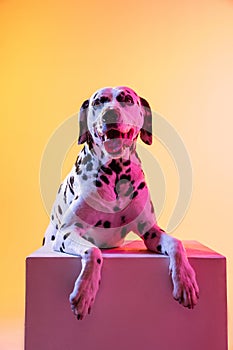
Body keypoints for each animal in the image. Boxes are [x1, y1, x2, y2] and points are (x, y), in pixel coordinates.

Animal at [43, 85, 198, 320]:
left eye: (127, 99)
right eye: (99, 101)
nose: (110, 114)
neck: (115, 172)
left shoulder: (150, 231)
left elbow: (176, 244)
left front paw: (185, 280)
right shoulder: (67, 232)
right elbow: (93, 252)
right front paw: (85, 292)